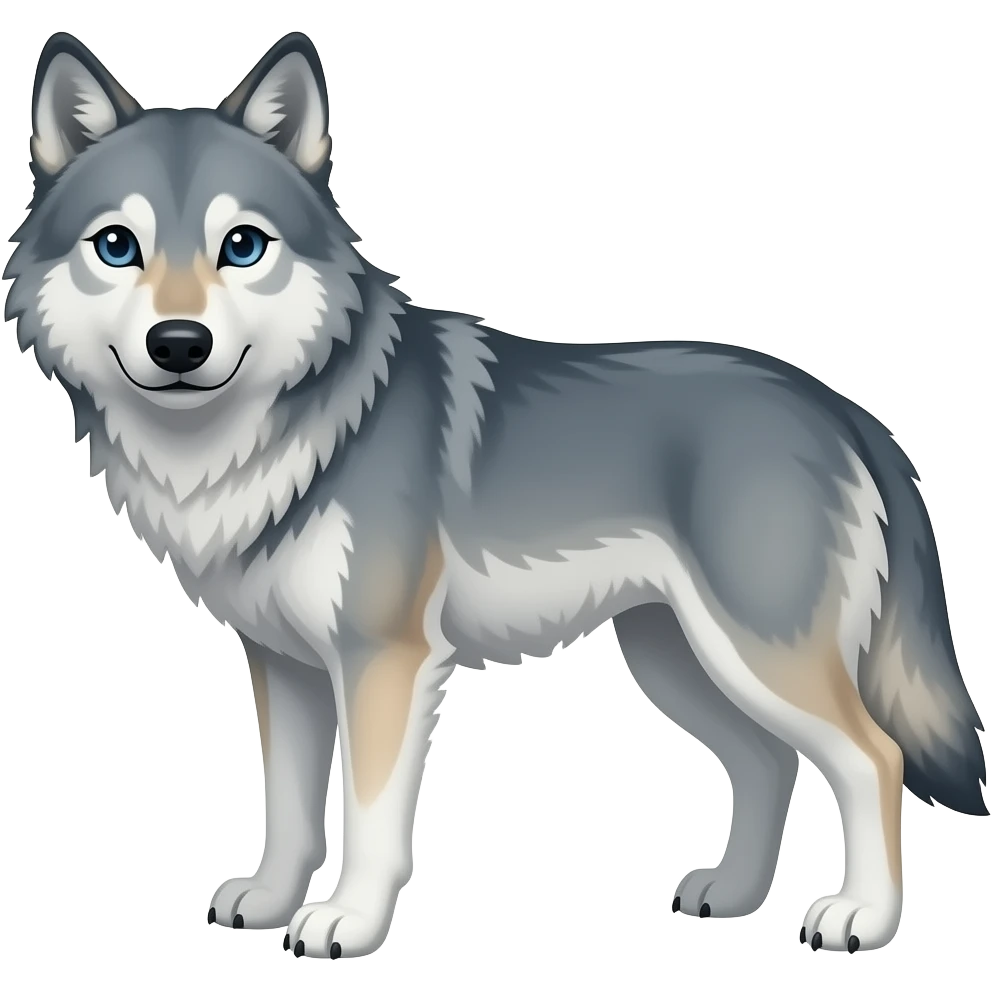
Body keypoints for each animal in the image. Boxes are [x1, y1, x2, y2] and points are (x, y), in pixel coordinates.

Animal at [4, 28, 987, 960]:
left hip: (753, 654)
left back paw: (862, 918)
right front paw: (271, 902)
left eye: (241, 246)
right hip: (677, 659)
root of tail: (841, 407)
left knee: (872, 757)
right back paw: (733, 895)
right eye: (117, 246)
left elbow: (367, 818)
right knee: (769, 762)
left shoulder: (385, 663)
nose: (179, 343)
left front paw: (347, 924)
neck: (271, 441)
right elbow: (286, 809)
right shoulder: (283, 665)